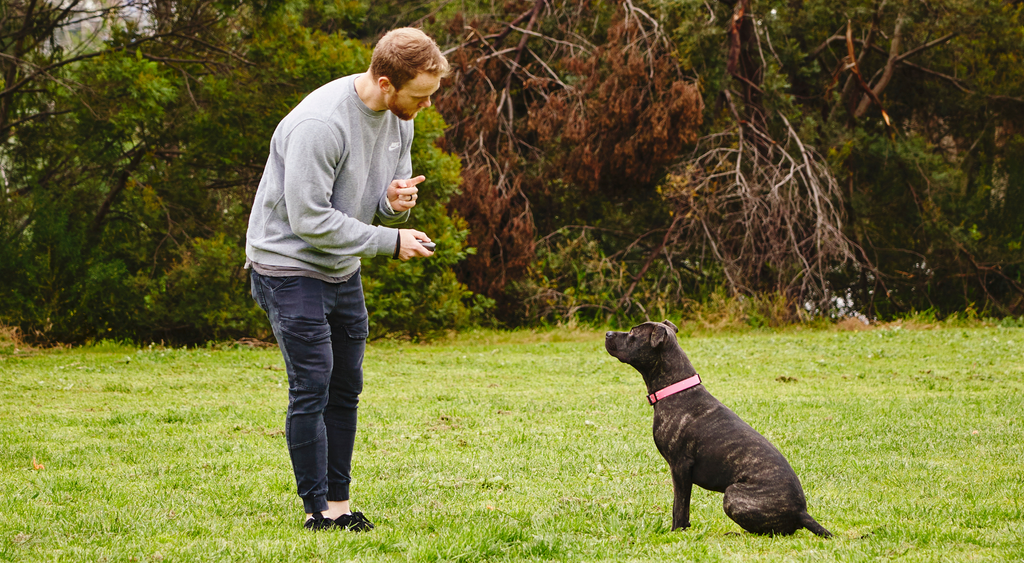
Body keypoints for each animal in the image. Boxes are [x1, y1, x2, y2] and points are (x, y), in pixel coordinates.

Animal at [598, 321, 831, 540]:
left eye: (633, 333)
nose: (607, 333)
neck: (675, 388)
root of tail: (801, 512)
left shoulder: (680, 467)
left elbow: (679, 506)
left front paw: (676, 531)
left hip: (732, 495)